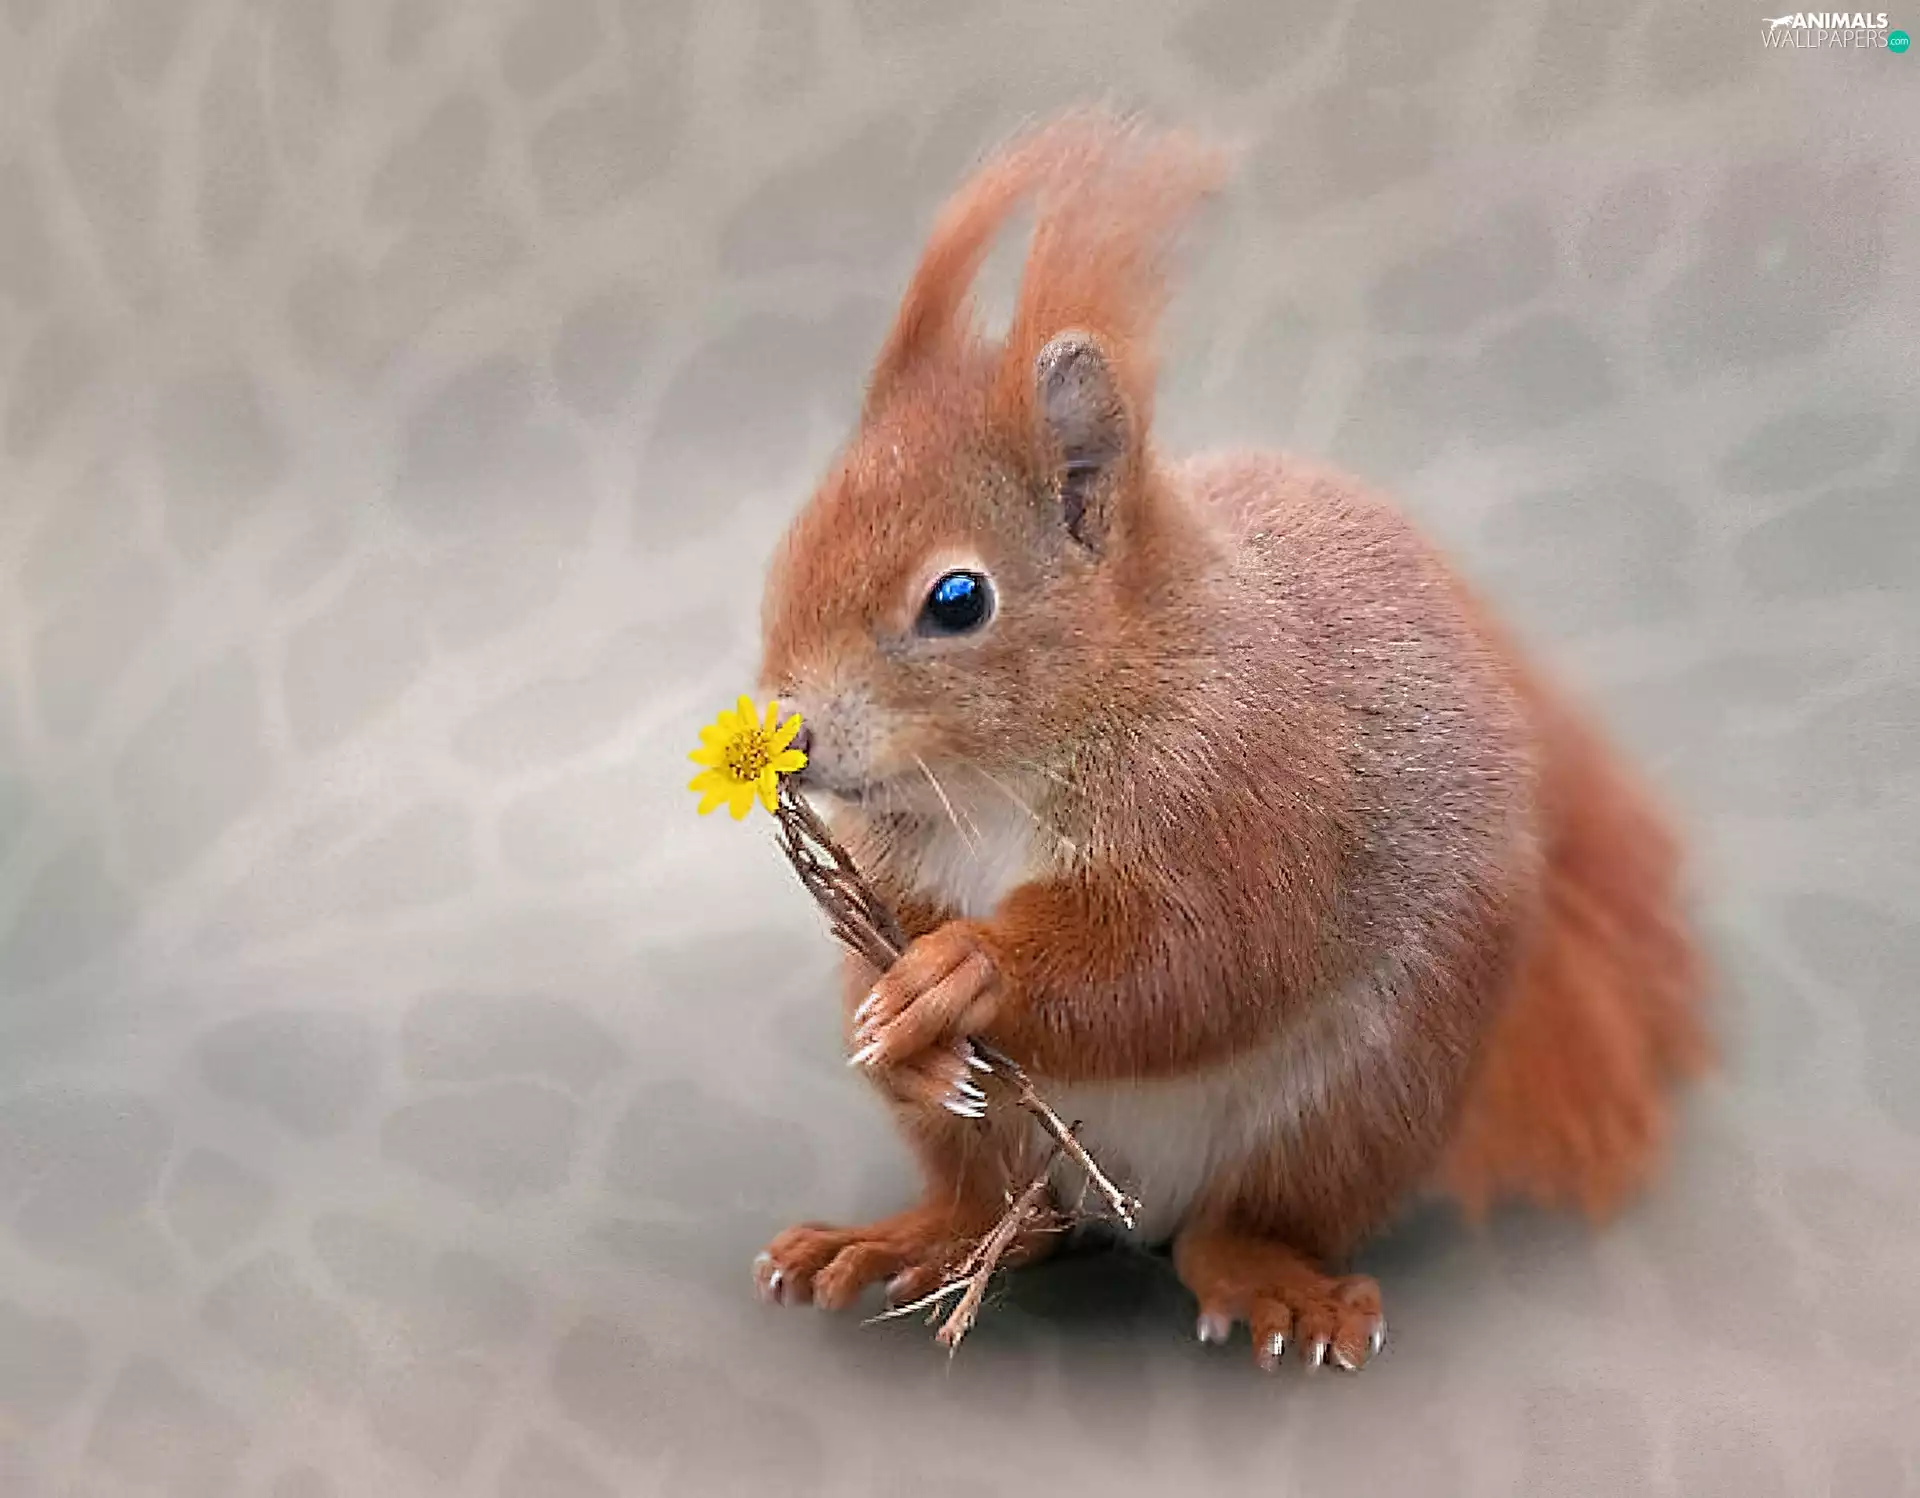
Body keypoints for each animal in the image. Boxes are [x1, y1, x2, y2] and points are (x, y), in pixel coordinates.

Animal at [751, 110, 1710, 1372]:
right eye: (794, 542)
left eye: (958, 599)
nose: (793, 734)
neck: (1006, 775)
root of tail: (1132, 1206)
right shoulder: (901, 854)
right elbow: (894, 922)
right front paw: (900, 1021)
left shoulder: (1247, 784)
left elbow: (1194, 959)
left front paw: (968, 971)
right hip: (1009, 1148)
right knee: (1000, 1211)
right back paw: (909, 1236)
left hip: (1361, 1101)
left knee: (1242, 1218)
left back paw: (1270, 1279)